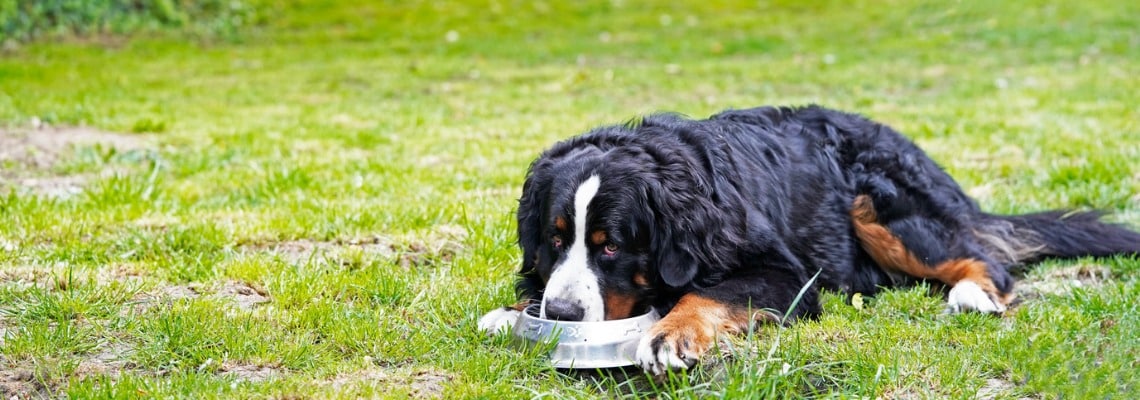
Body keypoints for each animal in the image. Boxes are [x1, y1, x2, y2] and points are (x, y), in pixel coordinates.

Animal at [474, 104, 1140, 373]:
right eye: (556, 238)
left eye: (610, 244)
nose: (562, 314)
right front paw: (513, 311)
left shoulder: (785, 272)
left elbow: (705, 294)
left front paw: (671, 334)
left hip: (877, 204)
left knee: (982, 259)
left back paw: (972, 293)